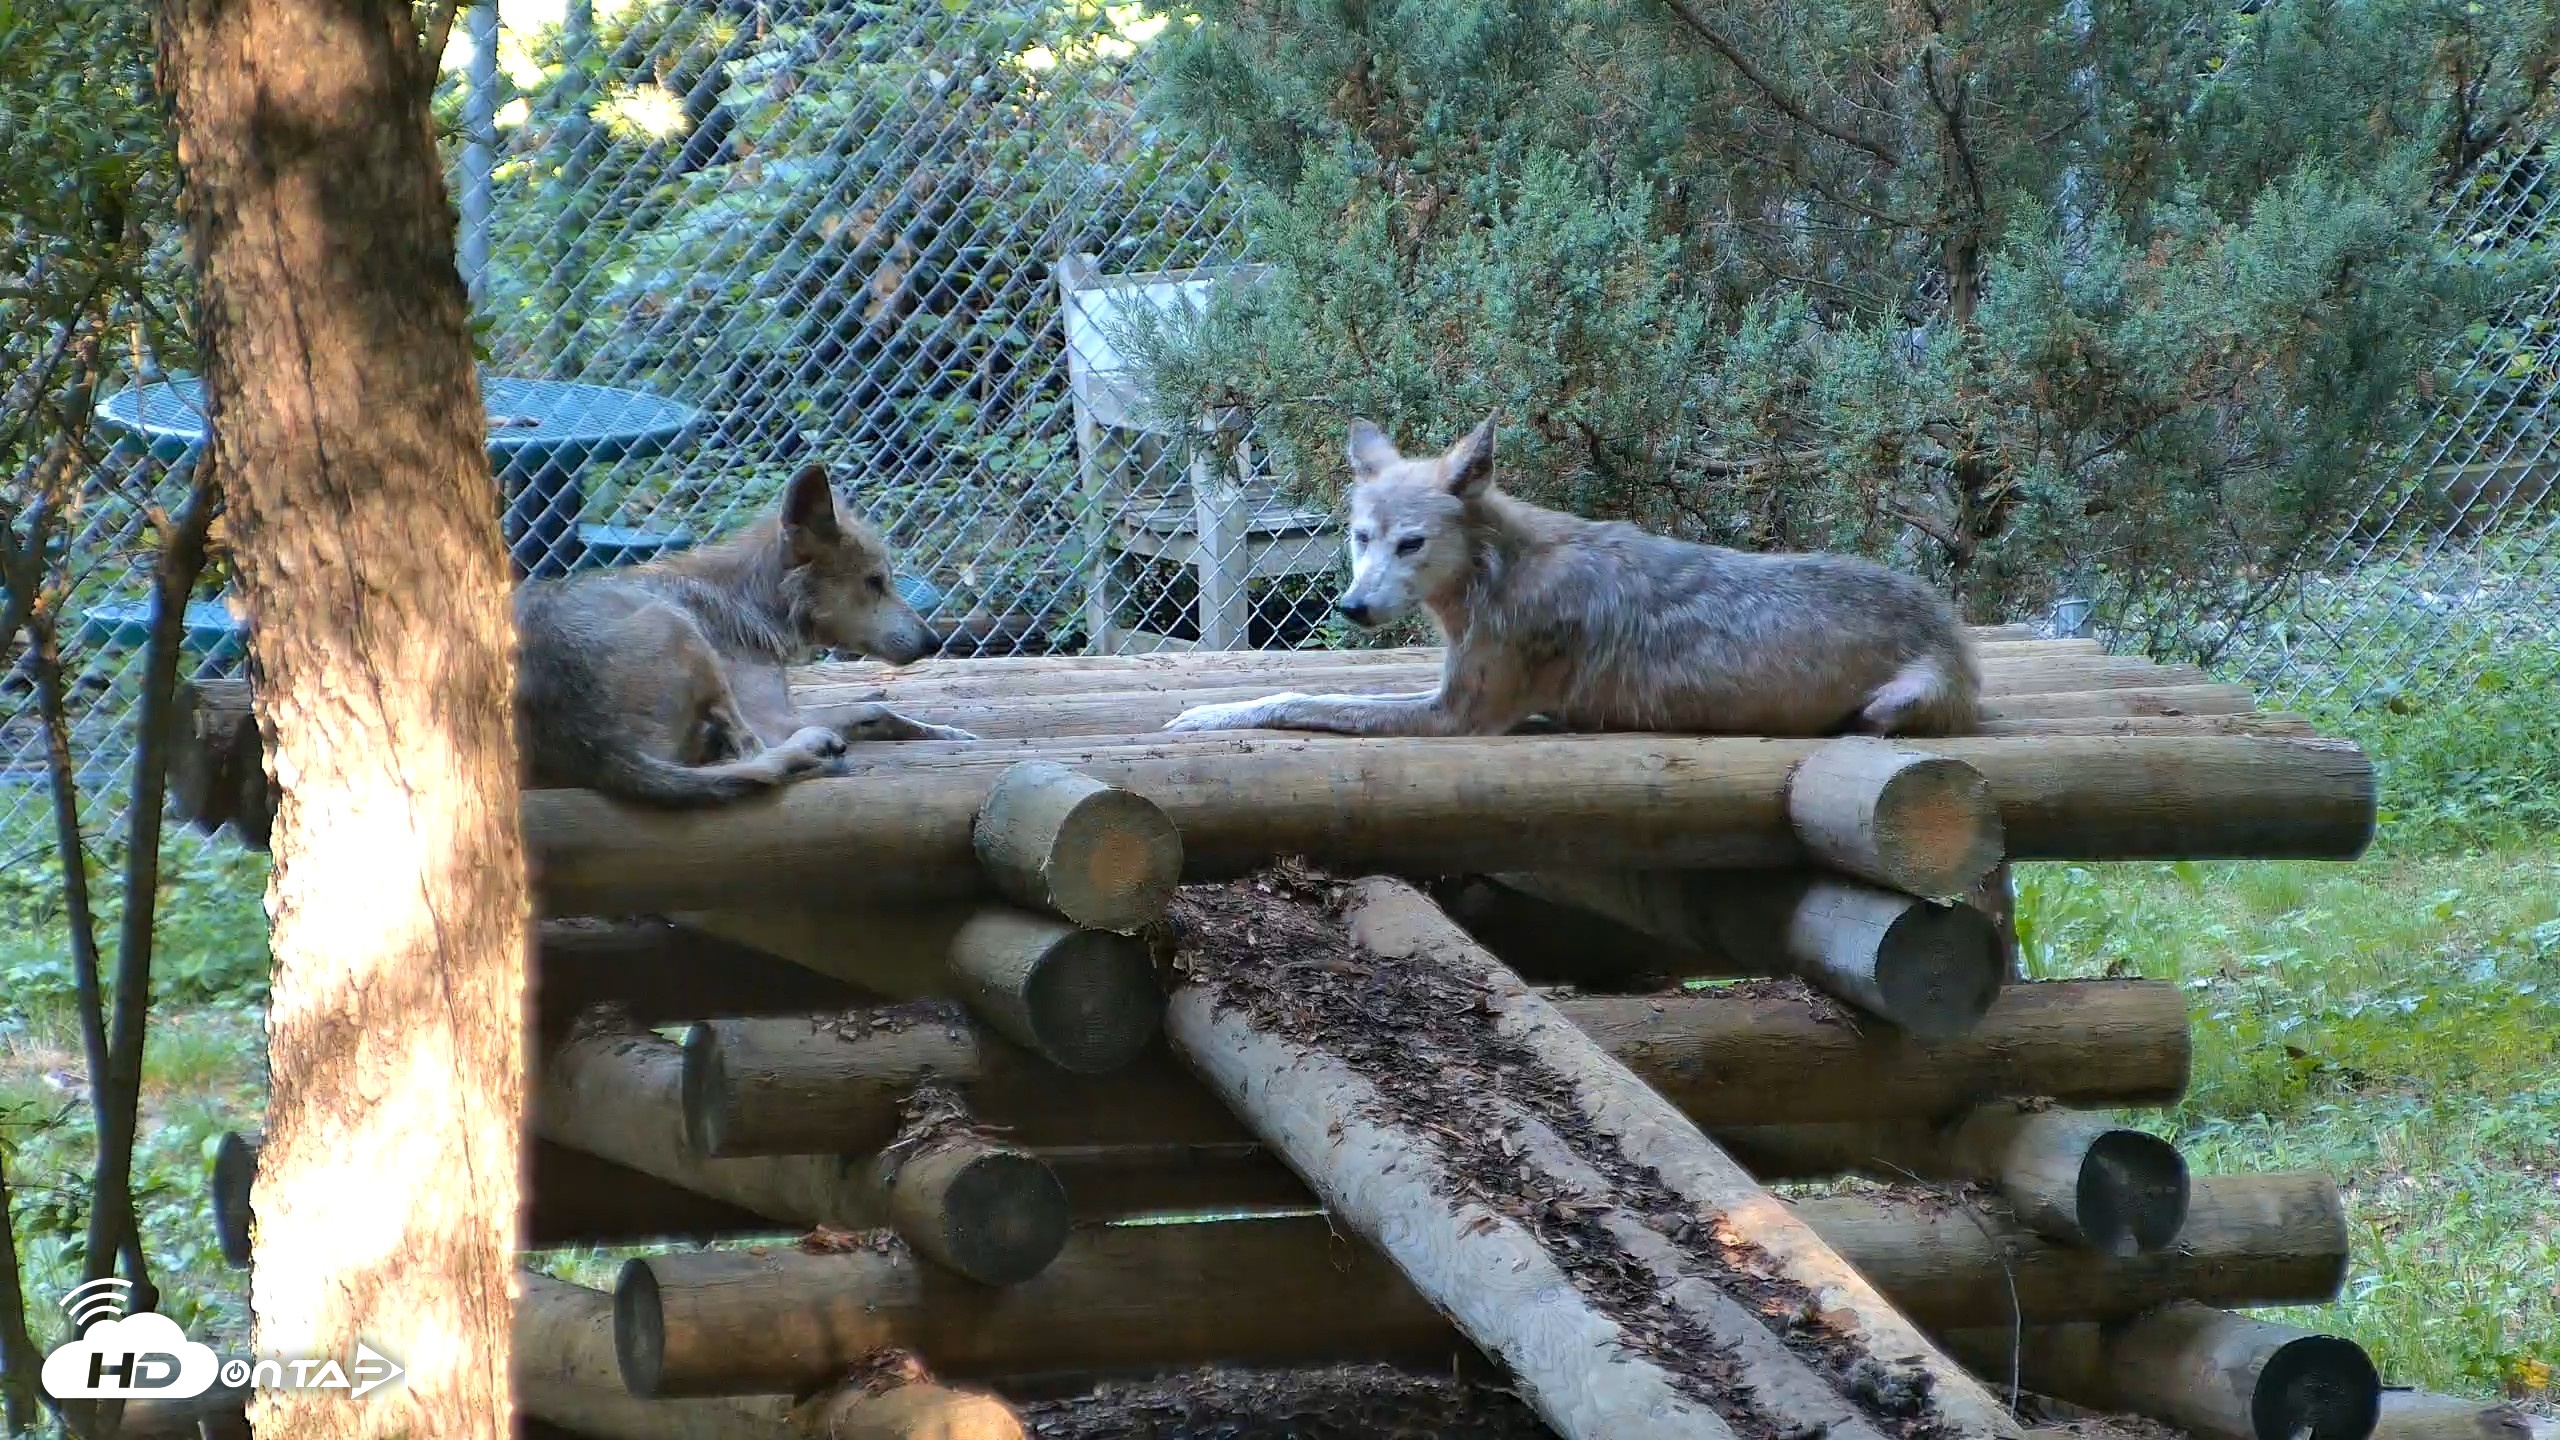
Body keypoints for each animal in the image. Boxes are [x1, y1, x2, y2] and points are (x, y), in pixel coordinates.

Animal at [514, 463, 976, 806]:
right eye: (875, 582)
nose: (934, 642)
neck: (748, 602)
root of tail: (600, 751)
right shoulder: (774, 718)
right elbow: (876, 711)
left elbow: (876, 711)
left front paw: (949, 733)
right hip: (682, 631)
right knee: (755, 754)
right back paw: (812, 746)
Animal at [1162, 415, 1980, 739]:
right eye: (1362, 540)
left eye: (1411, 544)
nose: (1353, 607)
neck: (1495, 572)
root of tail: (1950, 631)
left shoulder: (1454, 716)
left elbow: (1297, 697)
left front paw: (1204, 716)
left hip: (1892, 706)